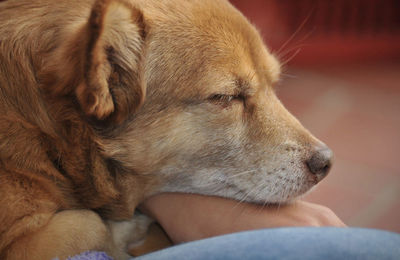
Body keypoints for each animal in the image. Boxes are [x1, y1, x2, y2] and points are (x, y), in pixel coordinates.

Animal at [0, 0, 332, 258]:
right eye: (225, 97)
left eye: (273, 85)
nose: (326, 162)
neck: (50, 137)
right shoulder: (23, 246)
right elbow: (89, 224)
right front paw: (124, 232)